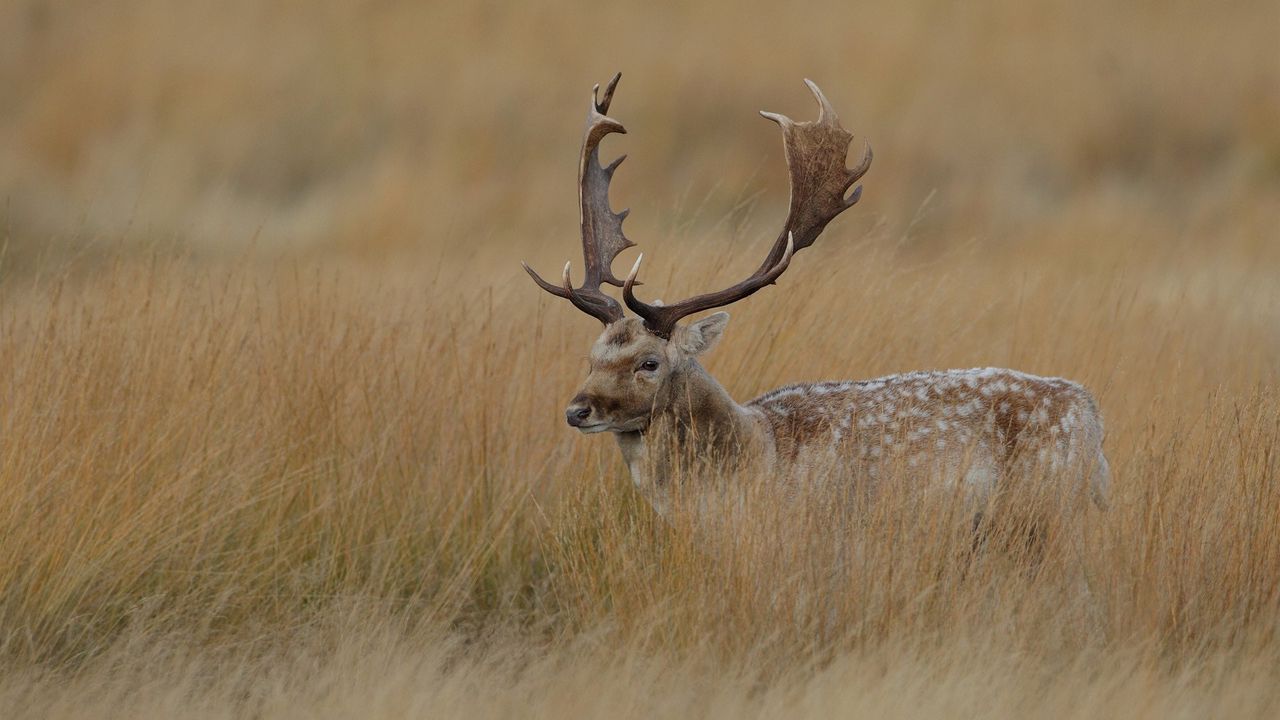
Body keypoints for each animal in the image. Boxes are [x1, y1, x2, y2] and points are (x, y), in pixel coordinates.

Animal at [522, 74, 1111, 520]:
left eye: (649, 362)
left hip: (1047, 507)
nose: (577, 409)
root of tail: (1091, 413)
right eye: (592, 356)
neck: (754, 458)